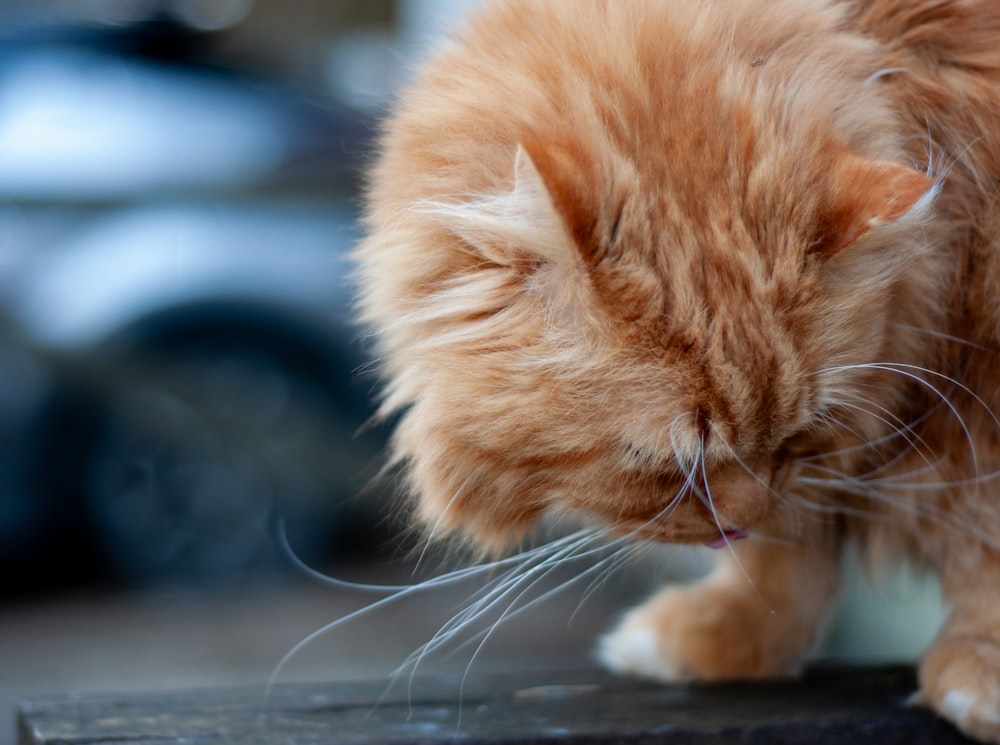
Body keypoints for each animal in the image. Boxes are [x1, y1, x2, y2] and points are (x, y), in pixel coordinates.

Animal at [356, 1, 1000, 740]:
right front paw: (734, 630)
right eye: (666, 463)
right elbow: (790, 547)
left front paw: (981, 667)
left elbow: (982, 537)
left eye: (794, 434)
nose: (742, 520)